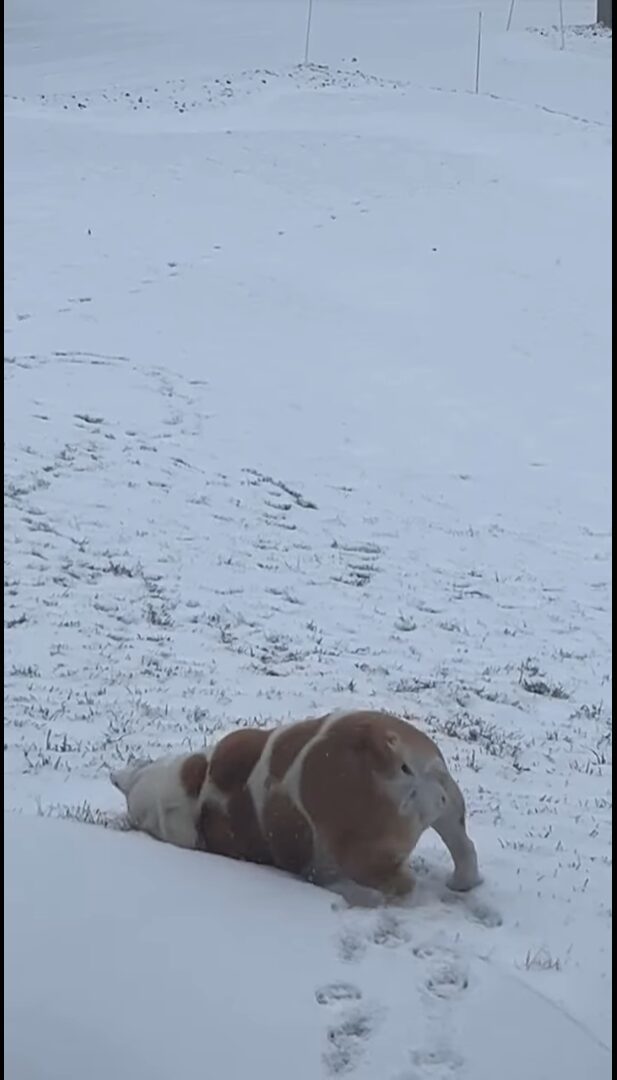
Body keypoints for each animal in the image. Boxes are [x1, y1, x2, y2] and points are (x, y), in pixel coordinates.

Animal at [114, 712, 481, 898]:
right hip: (448, 799)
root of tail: (384, 752)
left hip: (362, 854)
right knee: (463, 846)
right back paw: (463, 882)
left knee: (399, 882)